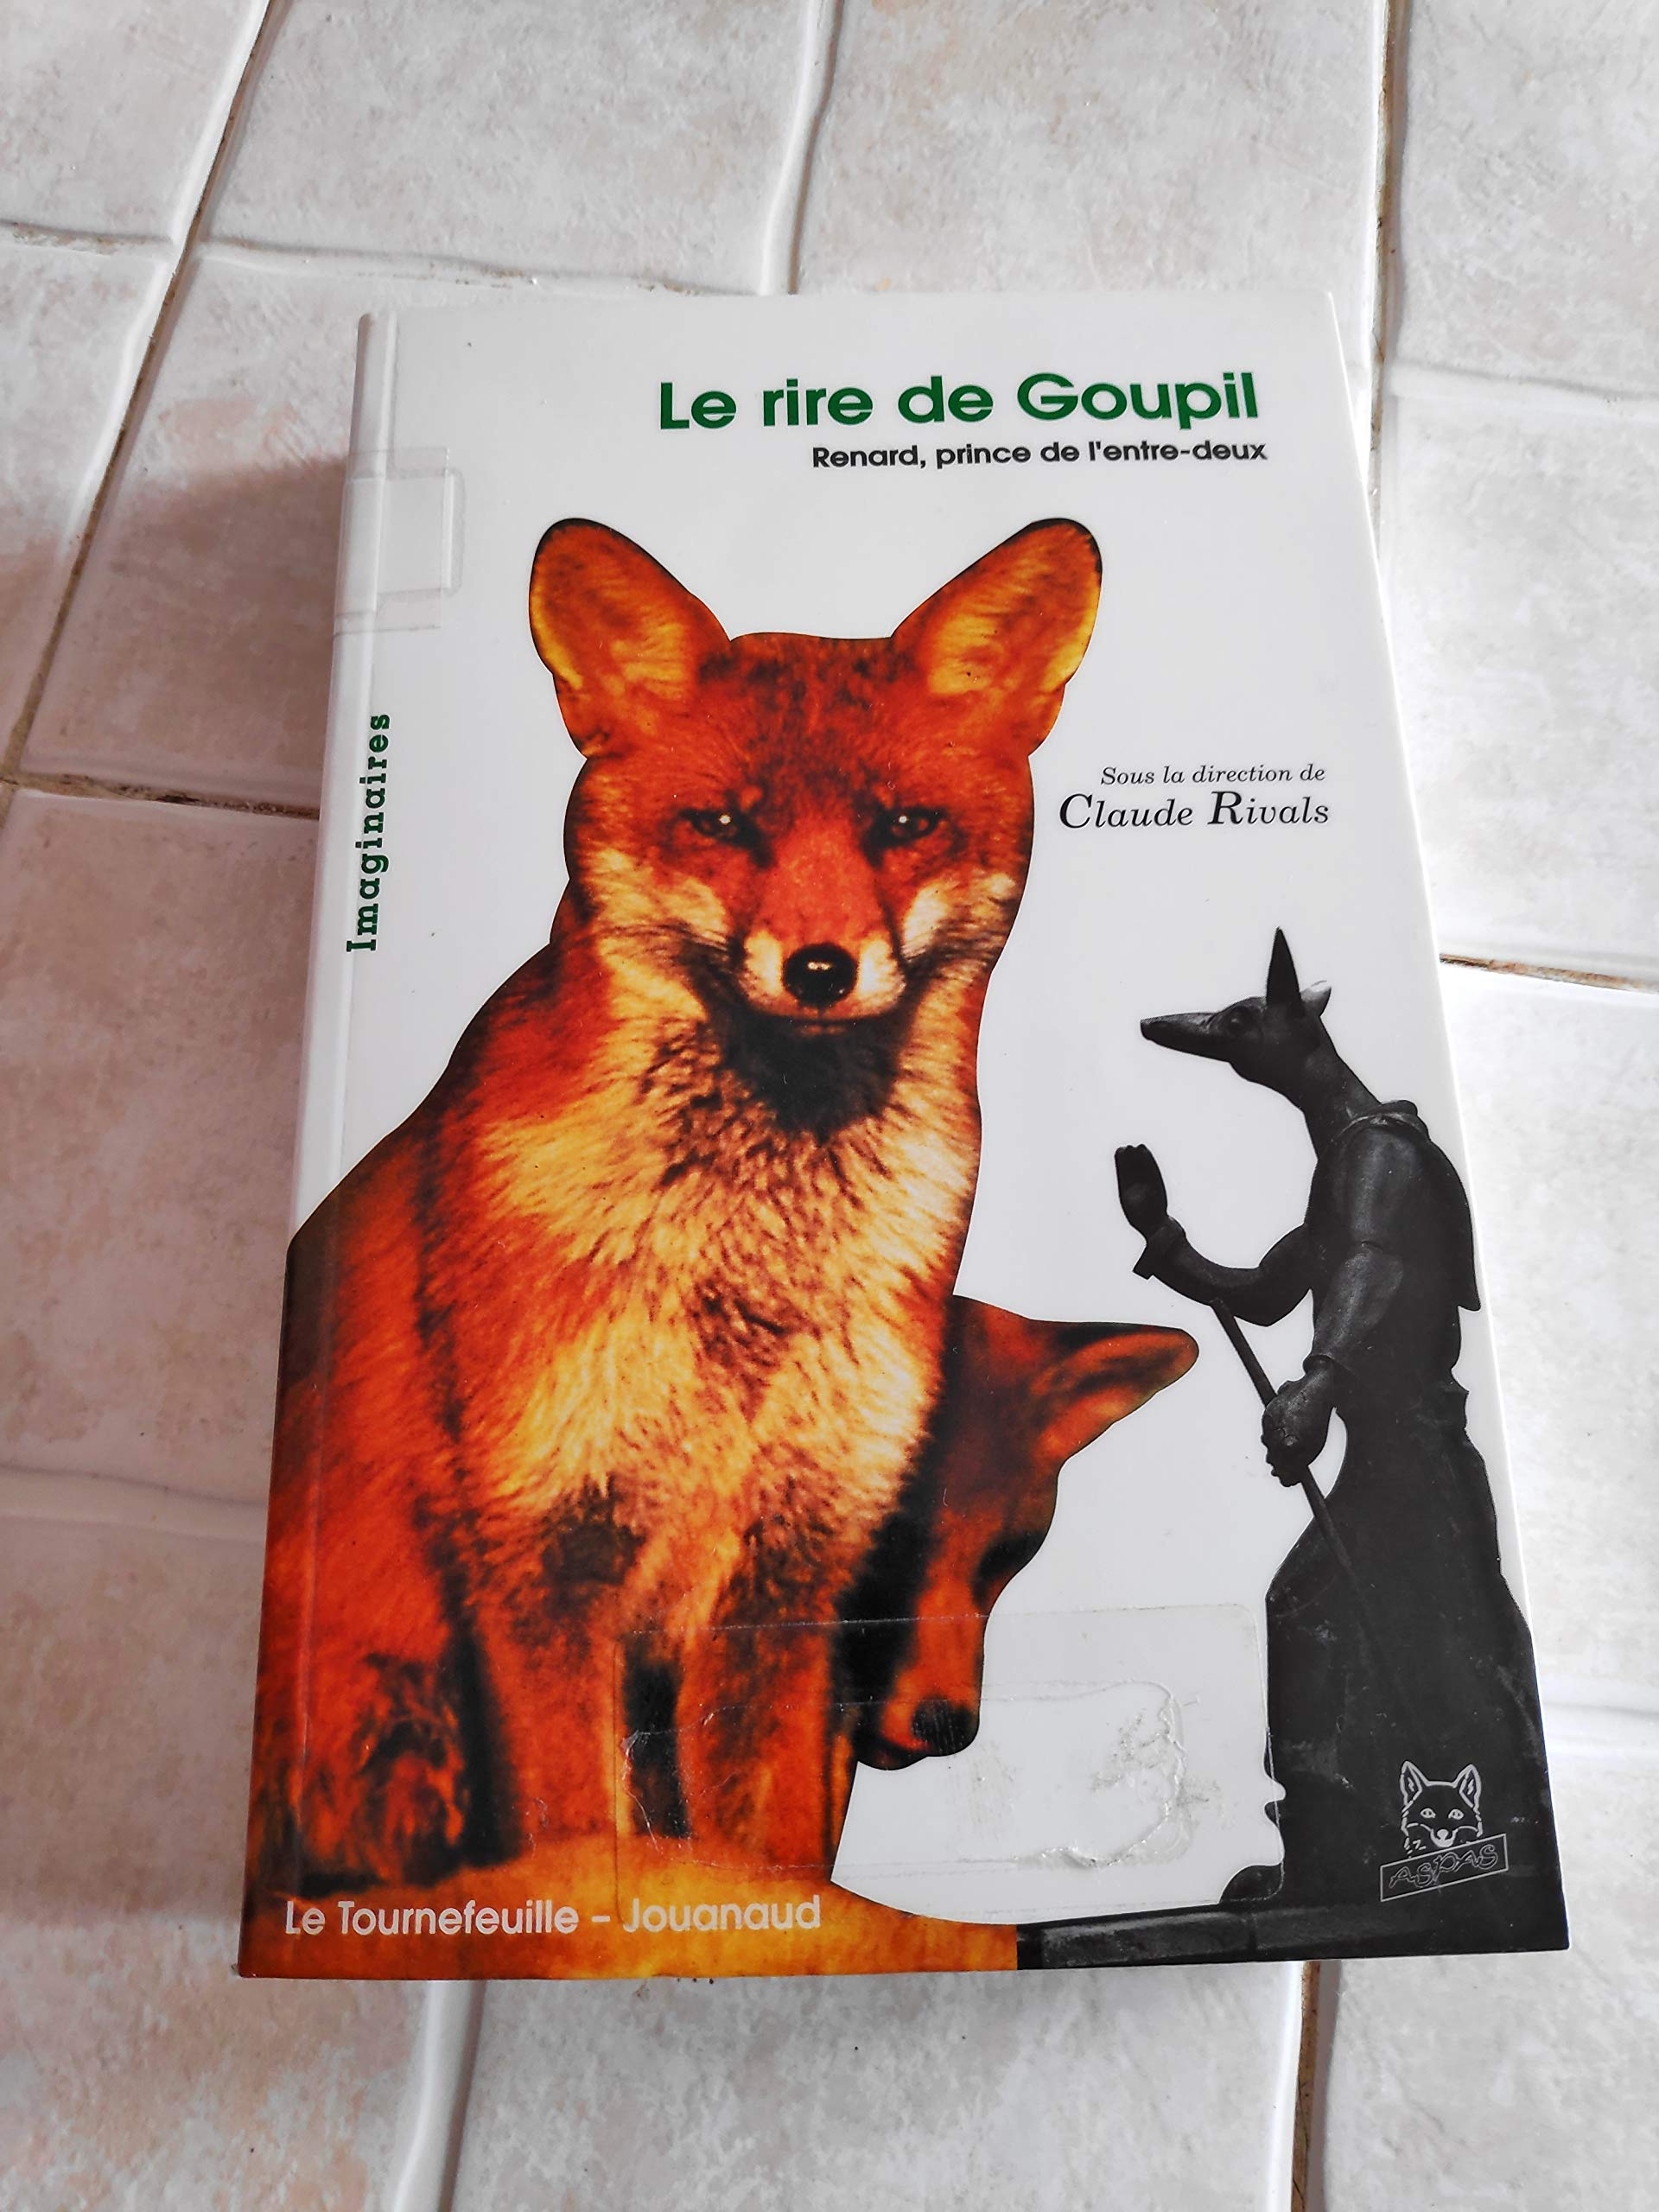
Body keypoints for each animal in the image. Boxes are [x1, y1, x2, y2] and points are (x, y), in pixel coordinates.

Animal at [247, 516, 1102, 1894]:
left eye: (903, 824)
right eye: (724, 824)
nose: (822, 967)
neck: (747, 1288)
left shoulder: (789, 1574)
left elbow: (781, 1862)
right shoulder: (543, 1561)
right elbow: (579, 1853)